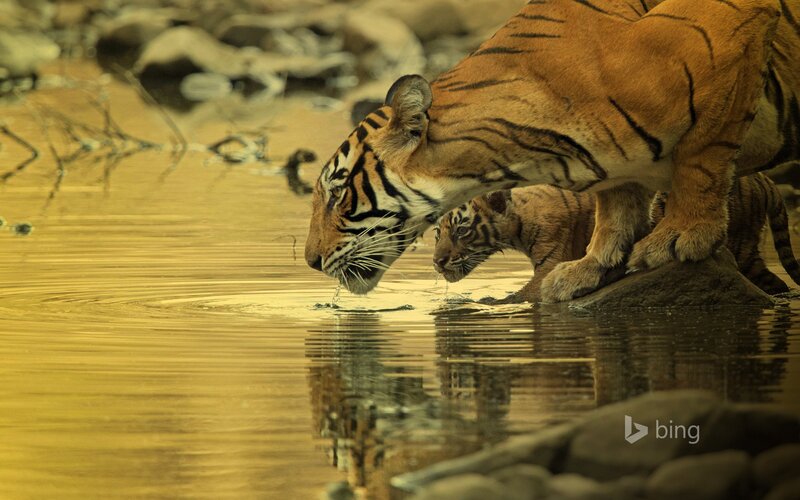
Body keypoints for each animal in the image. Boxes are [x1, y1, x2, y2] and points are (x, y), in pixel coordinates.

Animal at [433, 173, 800, 303]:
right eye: (438, 233)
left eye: (462, 230)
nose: (436, 262)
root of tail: (767, 181)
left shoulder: (549, 264)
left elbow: (522, 294)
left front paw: (486, 302)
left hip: (743, 247)